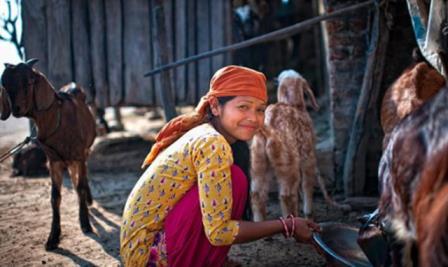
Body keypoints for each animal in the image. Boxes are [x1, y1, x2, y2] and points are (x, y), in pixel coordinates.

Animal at [0, 58, 96, 251]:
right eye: (5, 85)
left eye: (29, 81)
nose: (16, 109)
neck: (57, 119)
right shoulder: (54, 161)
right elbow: (55, 197)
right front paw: (53, 238)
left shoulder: (79, 156)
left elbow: (81, 186)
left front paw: (85, 224)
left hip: (83, 154)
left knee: (82, 180)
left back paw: (87, 202)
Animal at [250, 69, 348, 222]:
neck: (293, 104)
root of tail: (267, 127)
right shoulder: (308, 157)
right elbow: (307, 184)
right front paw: (309, 213)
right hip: (288, 163)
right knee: (287, 194)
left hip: (258, 162)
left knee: (257, 195)